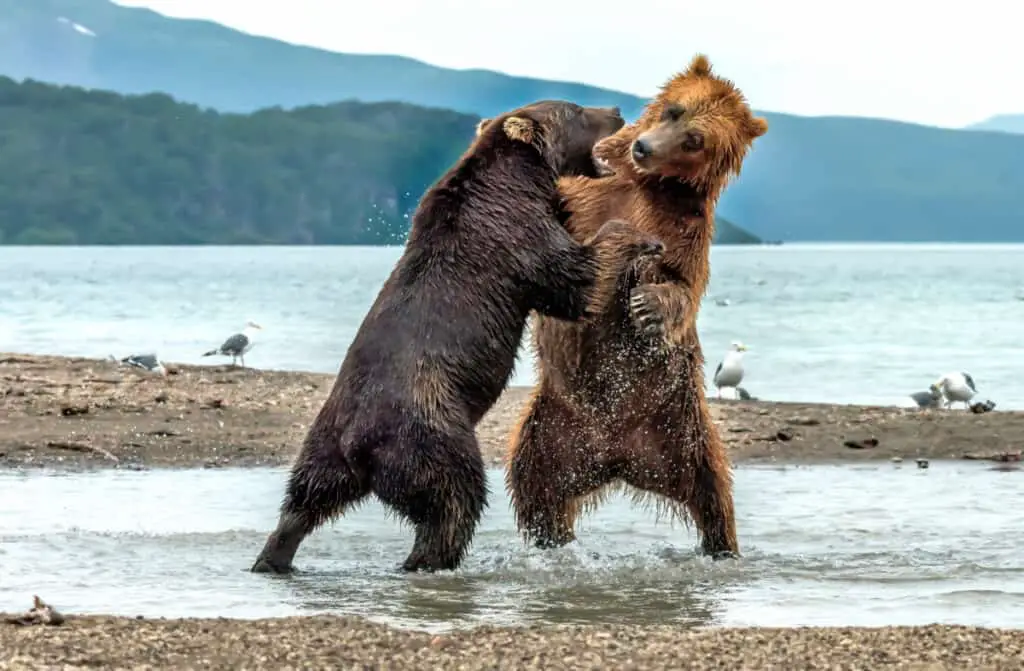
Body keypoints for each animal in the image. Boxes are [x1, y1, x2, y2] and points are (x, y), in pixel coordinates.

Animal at [247, 100, 663, 577]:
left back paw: (274, 556)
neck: (520, 180)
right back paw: (432, 559)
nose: (614, 109)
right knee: (453, 497)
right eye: (575, 110)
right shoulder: (515, 236)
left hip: (326, 439)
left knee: (305, 498)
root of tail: (358, 443)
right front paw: (643, 238)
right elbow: (576, 279)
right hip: (430, 428)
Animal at [505, 53, 770, 557]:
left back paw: (722, 546)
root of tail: (617, 458)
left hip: (681, 428)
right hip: (552, 432)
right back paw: (551, 540)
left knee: (713, 494)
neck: (645, 183)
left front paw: (647, 304)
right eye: (673, 109)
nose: (644, 147)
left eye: (695, 139)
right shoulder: (585, 195)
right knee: (536, 491)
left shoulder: (684, 228)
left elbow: (682, 285)